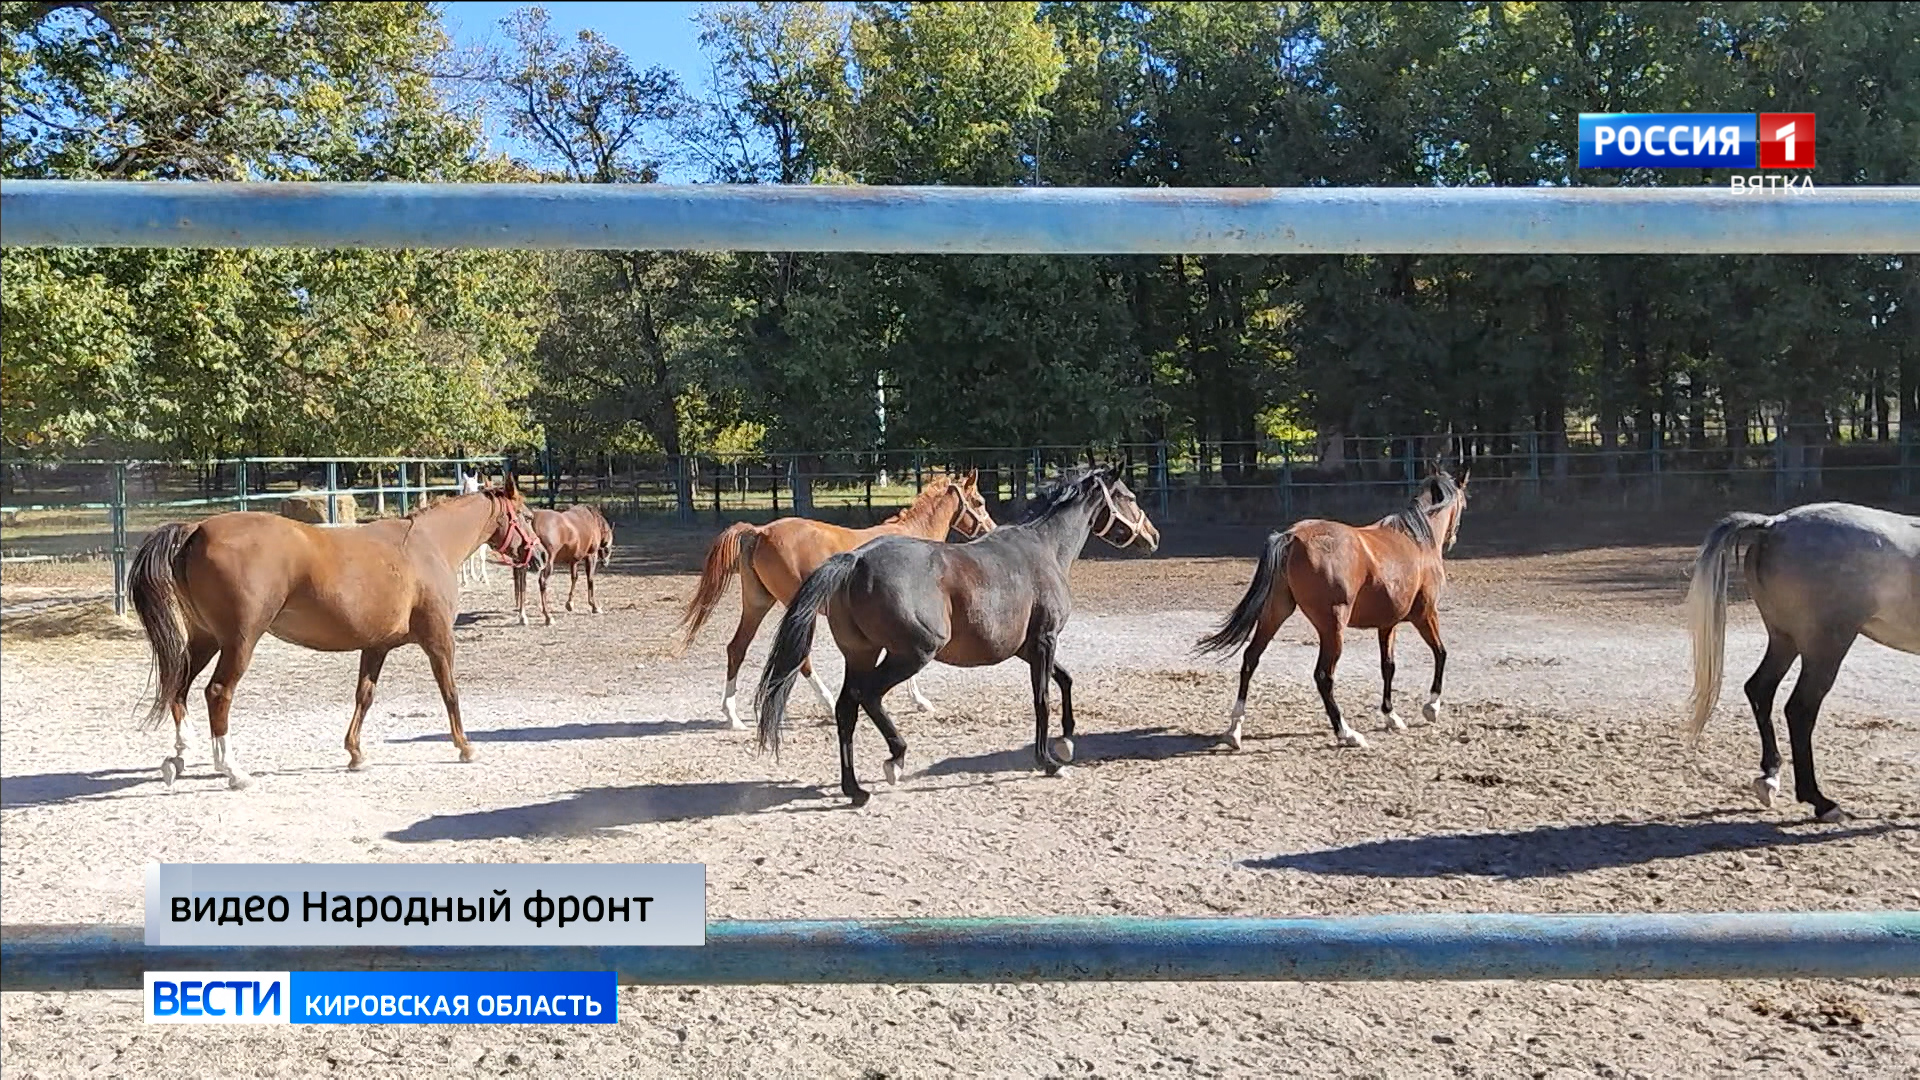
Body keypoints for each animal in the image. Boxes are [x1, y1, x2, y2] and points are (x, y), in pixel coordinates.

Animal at [127, 474, 549, 787]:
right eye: (527, 516)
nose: (542, 556)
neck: (426, 547)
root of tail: (197, 528)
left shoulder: (376, 646)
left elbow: (364, 696)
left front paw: (355, 754)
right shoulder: (439, 640)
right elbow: (450, 692)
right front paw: (465, 747)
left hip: (206, 638)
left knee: (178, 686)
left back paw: (180, 757)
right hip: (238, 642)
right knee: (216, 693)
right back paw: (232, 770)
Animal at [675, 466, 998, 726]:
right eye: (979, 502)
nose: (991, 529)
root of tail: (760, 532)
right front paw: (919, 700)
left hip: (757, 603)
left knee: (737, 648)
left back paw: (732, 716)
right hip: (795, 608)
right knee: (800, 657)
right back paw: (829, 704)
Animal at [756, 466, 1159, 803]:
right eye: (1129, 496)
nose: (1152, 536)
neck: (1044, 548)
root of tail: (854, 561)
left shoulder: (1027, 647)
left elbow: (1066, 680)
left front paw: (1067, 743)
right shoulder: (1045, 640)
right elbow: (1042, 698)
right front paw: (1048, 761)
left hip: (861, 654)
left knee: (846, 709)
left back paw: (854, 789)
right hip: (912, 653)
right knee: (868, 696)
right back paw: (896, 759)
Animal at [1190, 463, 1474, 749]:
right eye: (1464, 503)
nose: (1452, 539)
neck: (1416, 540)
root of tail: (1292, 536)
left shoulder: (1387, 624)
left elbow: (1388, 666)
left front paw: (1391, 716)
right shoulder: (1425, 614)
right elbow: (1441, 653)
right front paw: (1432, 707)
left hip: (1275, 612)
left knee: (1251, 658)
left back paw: (1234, 730)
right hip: (1332, 627)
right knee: (1323, 676)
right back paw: (1347, 733)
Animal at [1689, 499, 1912, 818]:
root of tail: (1775, 524)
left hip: (1784, 639)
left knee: (1760, 689)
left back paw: (1770, 777)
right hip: (1825, 648)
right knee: (1800, 709)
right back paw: (1821, 801)